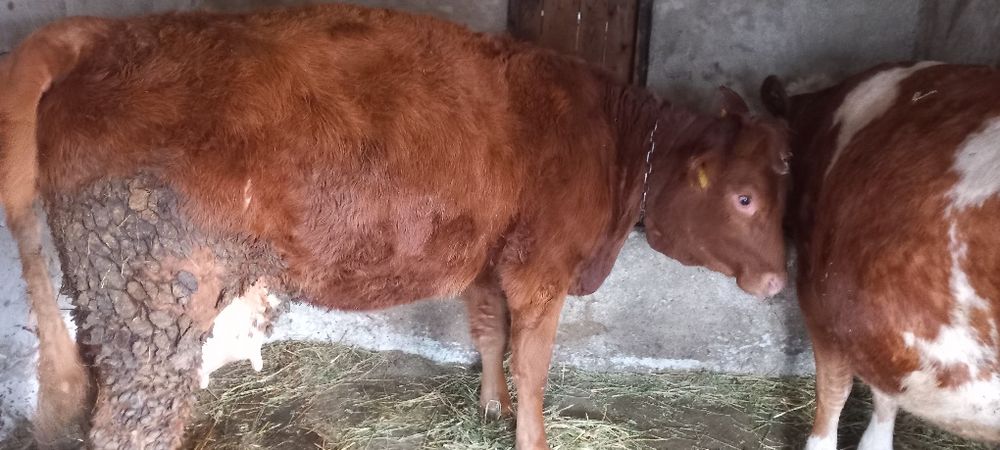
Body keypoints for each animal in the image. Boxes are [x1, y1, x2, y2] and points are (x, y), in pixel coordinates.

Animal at [0, 4, 790, 449]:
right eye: (746, 198)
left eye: (785, 180)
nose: (781, 279)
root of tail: (101, 33)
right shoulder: (542, 268)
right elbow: (534, 366)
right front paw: (530, 433)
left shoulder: (487, 260)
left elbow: (489, 336)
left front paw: (491, 409)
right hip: (152, 288)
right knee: (132, 422)